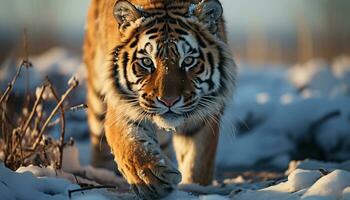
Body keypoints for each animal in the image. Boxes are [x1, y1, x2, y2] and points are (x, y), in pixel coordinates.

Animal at [84, 0, 238, 198]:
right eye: (147, 62)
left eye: (188, 61)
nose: (169, 101)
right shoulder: (123, 108)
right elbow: (130, 146)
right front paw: (150, 178)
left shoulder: (203, 118)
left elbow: (197, 162)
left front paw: (194, 187)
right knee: (99, 146)